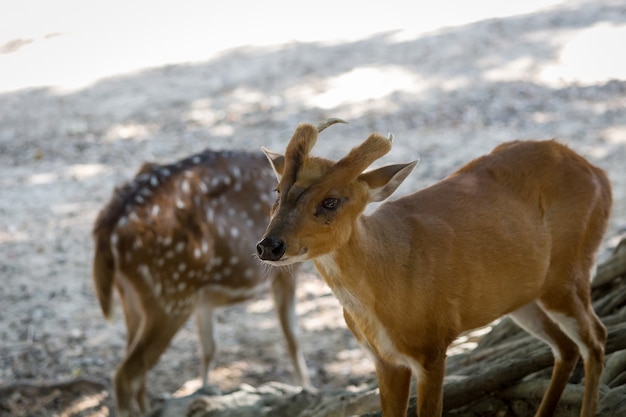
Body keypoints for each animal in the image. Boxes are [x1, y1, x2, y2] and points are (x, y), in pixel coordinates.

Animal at [91, 148, 316, 414]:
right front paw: (307, 389)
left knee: (136, 367)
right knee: (126, 375)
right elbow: (293, 338)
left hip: (137, 297)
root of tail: (108, 228)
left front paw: (207, 393)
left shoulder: (204, 298)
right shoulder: (285, 272)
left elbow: (209, 348)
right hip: (170, 294)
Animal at [255, 118, 608, 414]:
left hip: (569, 270)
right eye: (277, 192)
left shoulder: (433, 346)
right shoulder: (384, 359)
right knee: (566, 347)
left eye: (330, 201)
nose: (269, 245)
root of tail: (599, 175)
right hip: (522, 298)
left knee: (596, 337)